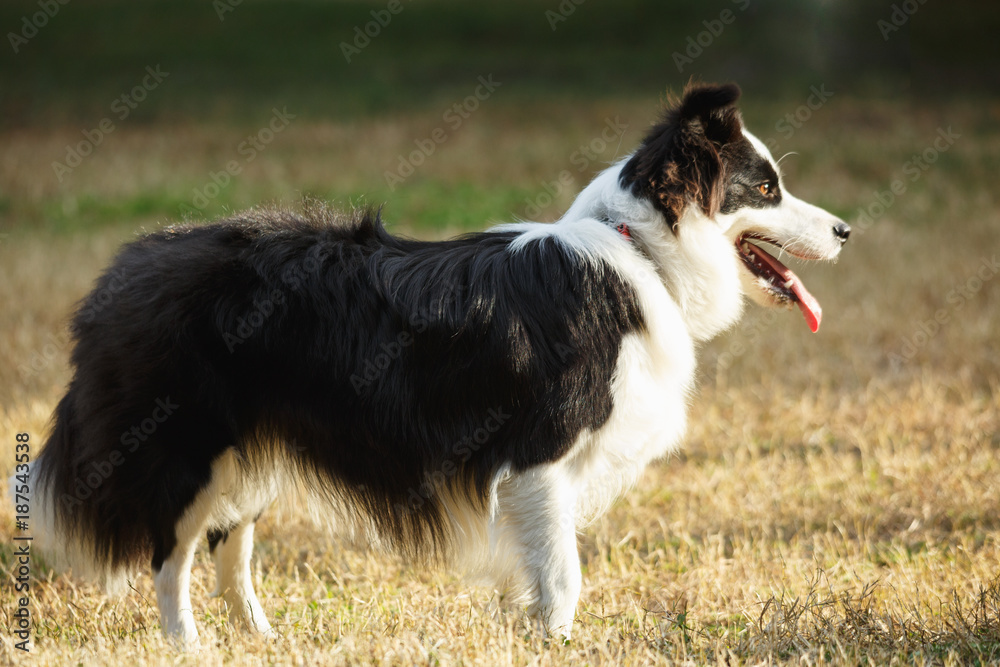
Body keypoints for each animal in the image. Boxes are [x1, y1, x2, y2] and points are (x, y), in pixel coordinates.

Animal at [17, 83, 844, 648]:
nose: (845, 229)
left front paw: (523, 632)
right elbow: (564, 569)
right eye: (767, 188)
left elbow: (538, 564)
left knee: (230, 546)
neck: (638, 247)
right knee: (171, 551)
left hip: (249, 453)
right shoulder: (538, 452)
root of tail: (125, 269)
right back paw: (187, 644)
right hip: (185, 443)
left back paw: (261, 638)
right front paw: (557, 642)